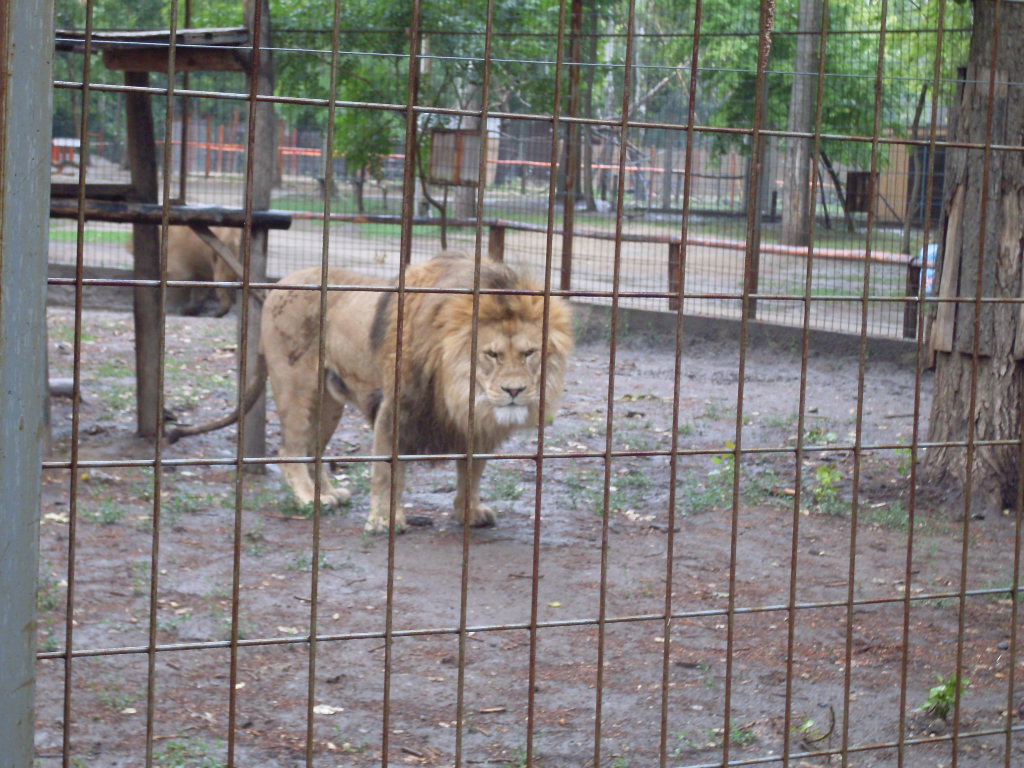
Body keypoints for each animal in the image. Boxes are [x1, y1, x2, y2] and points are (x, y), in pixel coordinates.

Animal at [169, 252, 573, 533]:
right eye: (492, 354)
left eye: (529, 353)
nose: (514, 390)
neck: (457, 390)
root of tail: (279, 284)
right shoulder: (395, 410)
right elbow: (385, 472)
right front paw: (383, 520)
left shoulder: (475, 426)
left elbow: (472, 473)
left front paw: (469, 512)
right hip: (296, 384)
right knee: (289, 450)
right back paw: (310, 498)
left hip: (328, 400)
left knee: (314, 448)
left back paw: (329, 492)